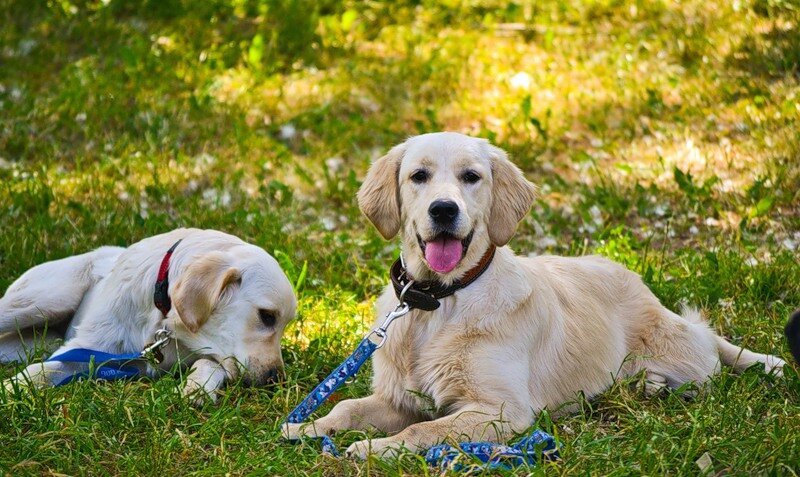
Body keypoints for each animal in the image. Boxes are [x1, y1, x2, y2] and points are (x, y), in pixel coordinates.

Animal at [1, 228, 296, 402]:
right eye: (267, 316)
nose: (277, 380)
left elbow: (210, 364)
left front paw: (196, 388)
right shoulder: (86, 349)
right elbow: (43, 369)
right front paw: (12, 389)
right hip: (45, 299)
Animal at [284, 131, 784, 458]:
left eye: (471, 177)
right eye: (418, 176)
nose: (443, 209)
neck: (439, 301)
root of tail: (637, 281)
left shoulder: (501, 410)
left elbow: (427, 431)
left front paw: (376, 448)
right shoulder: (398, 399)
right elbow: (347, 406)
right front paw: (310, 426)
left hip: (687, 357)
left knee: (711, 349)